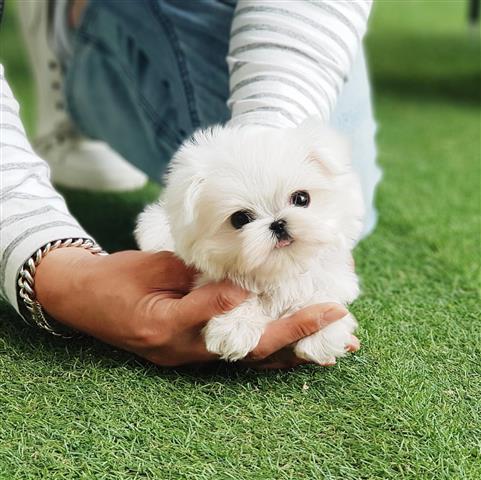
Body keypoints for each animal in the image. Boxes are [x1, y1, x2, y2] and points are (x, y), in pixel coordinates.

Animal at [135, 119, 364, 364]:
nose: (278, 224)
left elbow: (322, 293)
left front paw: (321, 333)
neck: (283, 269)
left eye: (302, 198)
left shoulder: (333, 278)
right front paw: (234, 326)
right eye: (240, 219)